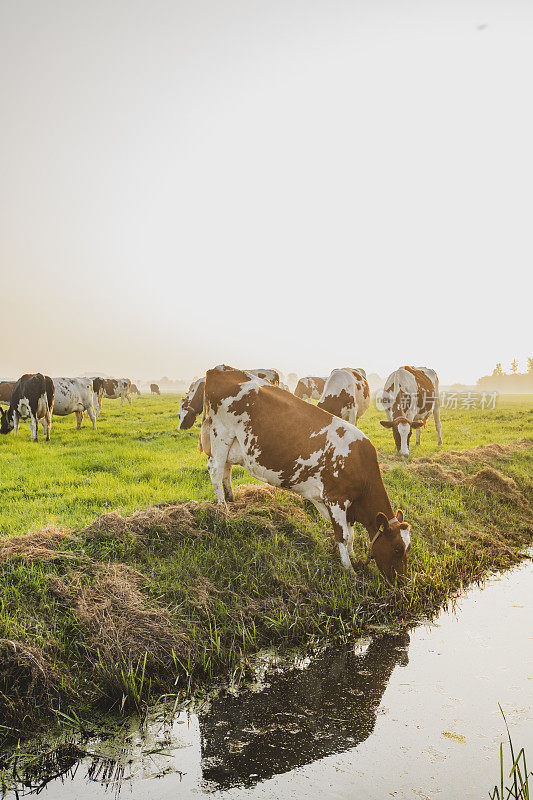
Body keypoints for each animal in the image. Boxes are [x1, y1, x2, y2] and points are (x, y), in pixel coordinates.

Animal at [200, 368, 412, 580]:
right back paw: (223, 509)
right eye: (397, 549)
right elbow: (343, 536)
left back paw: (231, 499)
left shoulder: (346, 505)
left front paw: (353, 555)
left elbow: (351, 534)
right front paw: (349, 568)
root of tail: (220, 369)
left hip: (232, 444)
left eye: (407, 549)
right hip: (221, 434)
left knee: (226, 469)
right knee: (216, 469)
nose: (402, 582)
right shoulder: (336, 499)